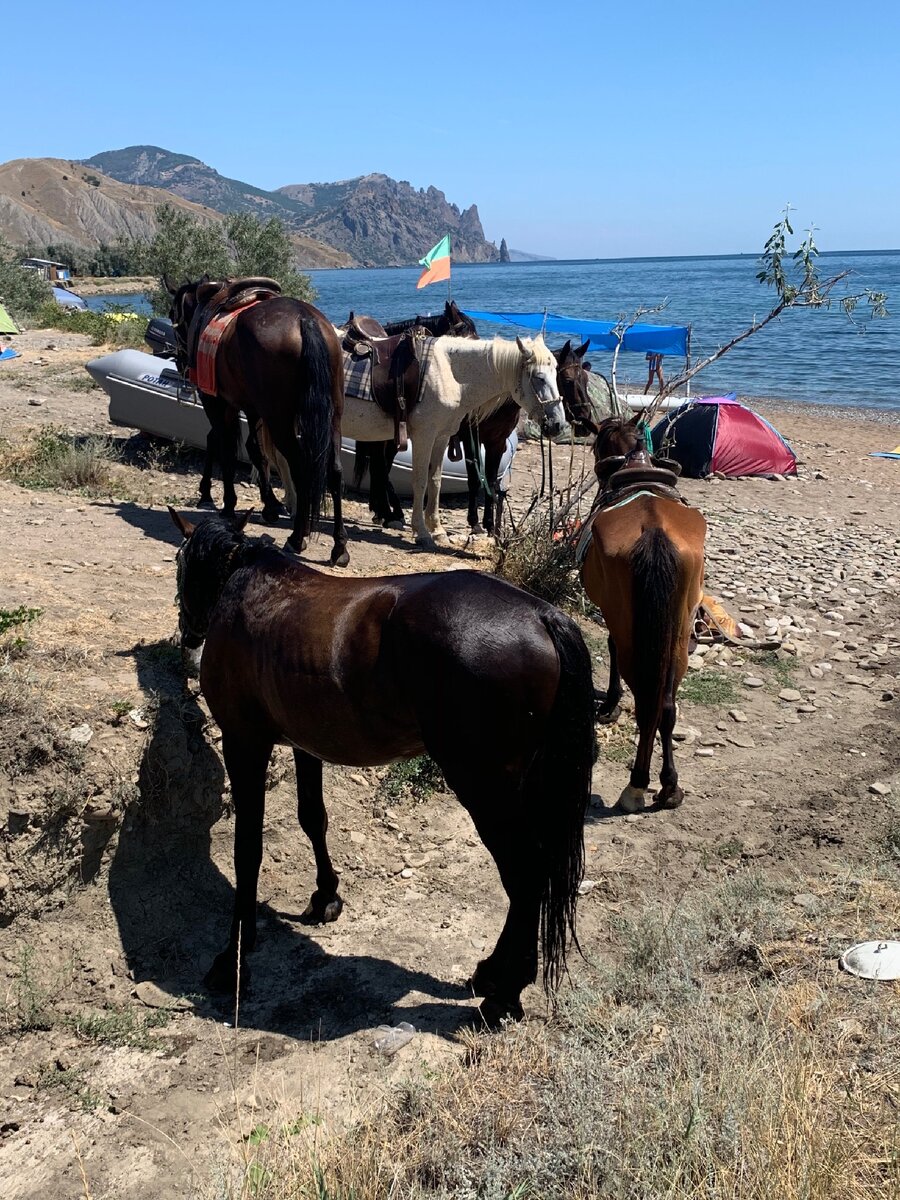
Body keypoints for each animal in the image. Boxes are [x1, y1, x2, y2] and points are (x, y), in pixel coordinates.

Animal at [165, 276, 352, 566]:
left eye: (173, 316)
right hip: (332, 417)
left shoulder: (218, 403)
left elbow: (224, 447)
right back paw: (339, 546)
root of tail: (305, 320)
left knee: (301, 468)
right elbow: (256, 451)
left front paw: (225, 502)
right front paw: (270, 505)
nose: (180, 361)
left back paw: (297, 537)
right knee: (334, 471)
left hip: (280, 419)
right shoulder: (253, 410)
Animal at [169, 506, 595, 1022]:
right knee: (534, 873)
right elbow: (313, 818)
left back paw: (504, 993)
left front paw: (232, 959)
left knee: (525, 873)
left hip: (484, 788)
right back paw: (494, 973)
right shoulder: (306, 744)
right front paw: (325, 896)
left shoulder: (244, 742)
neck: (248, 584)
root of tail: (542, 614)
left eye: (179, 566)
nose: (186, 637)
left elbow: (247, 850)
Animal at [271, 333, 564, 549]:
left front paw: (437, 529)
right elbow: (420, 481)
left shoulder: (442, 437)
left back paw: (290, 504)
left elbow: (434, 481)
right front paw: (422, 532)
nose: (558, 424)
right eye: (539, 377)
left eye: (557, 373)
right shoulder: (424, 435)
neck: (450, 372)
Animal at [580, 417, 710, 811]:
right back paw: (668, 786)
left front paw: (609, 704)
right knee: (664, 707)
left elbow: (609, 647)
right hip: (678, 637)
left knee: (646, 701)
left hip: (633, 633)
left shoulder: (610, 612)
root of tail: (654, 533)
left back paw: (636, 785)